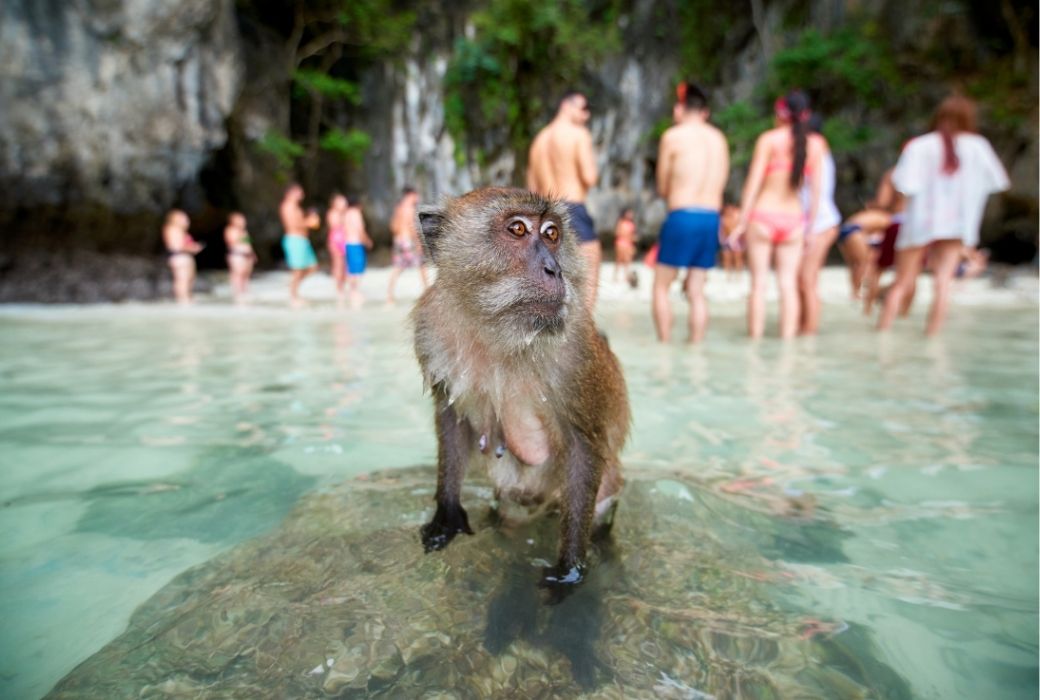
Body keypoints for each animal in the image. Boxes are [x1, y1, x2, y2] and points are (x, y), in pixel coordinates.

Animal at [411, 187, 630, 593]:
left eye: (552, 234)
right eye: (517, 229)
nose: (554, 268)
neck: (499, 331)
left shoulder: (575, 353)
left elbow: (582, 447)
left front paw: (570, 570)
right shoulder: (430, 330)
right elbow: (452, 421)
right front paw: (446, 514)